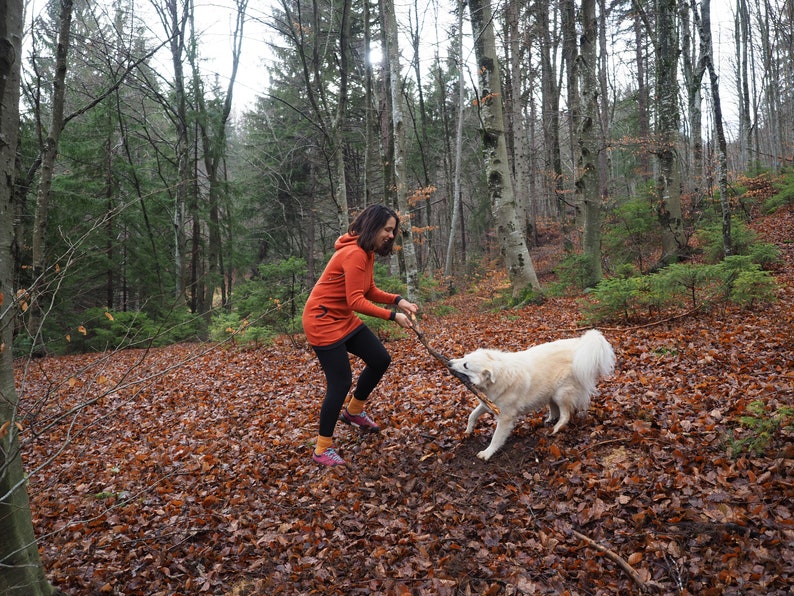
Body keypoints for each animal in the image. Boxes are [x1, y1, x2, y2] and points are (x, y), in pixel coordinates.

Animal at [448, 330, 616, 460]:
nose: (449, 363)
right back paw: (549, 420)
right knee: (555, 409)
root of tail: (581, 346)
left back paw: (555, 429)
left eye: (465, 365)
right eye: (464, 357)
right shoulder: (488, 403)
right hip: (551, 394)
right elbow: (472, 415)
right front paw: (468, 431)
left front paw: (487, 453)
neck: (500, 374)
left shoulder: (505, 417)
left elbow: (496, 438)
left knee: (566, 415)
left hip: (561, 394)